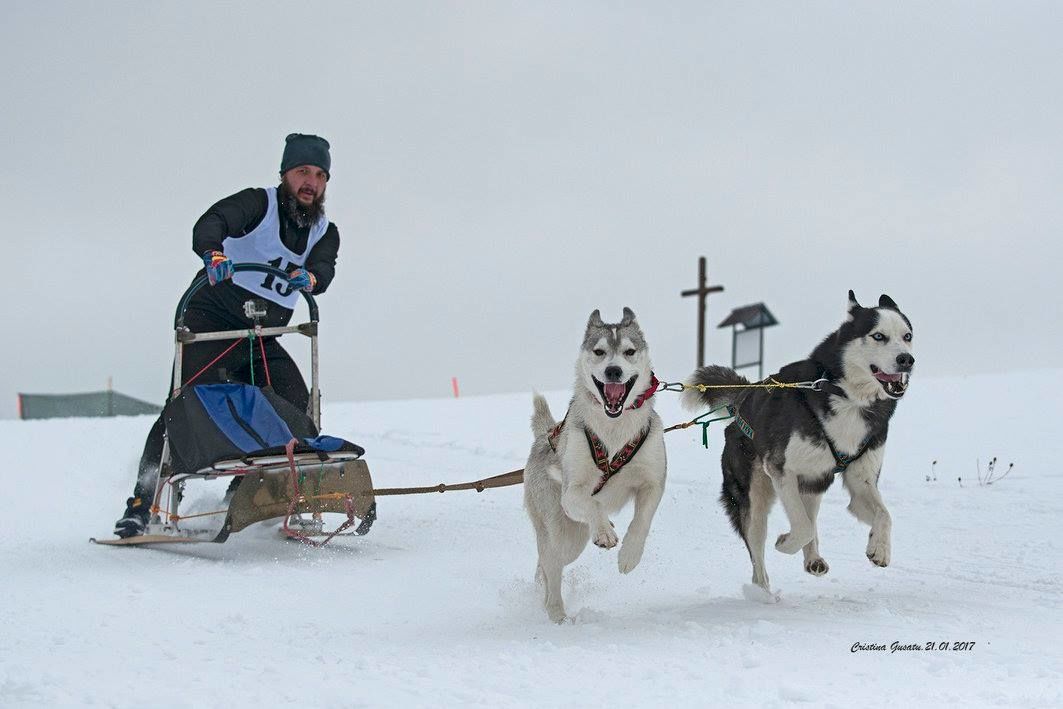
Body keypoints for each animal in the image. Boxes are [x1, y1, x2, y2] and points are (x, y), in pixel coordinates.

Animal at [522, 308, 663, 625]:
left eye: (629, 351)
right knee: (550, 568)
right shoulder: (572, 492)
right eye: (599, 352)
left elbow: (642, 520)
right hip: (563, 536)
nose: (613, 371)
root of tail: (544, 436)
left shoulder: (653, 481)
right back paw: (557, 614)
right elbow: (592, 503)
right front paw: (604, 532)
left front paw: (629, 555)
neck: (614, 432)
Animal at [688, 293, 914, 595]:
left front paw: (879, 548)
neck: (846, 397)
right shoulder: (782, 470)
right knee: (758, 555)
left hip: (814, 482)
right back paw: (763, 594)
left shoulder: (860, 481)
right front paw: (785, 543)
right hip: (754, 497)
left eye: (907, 336)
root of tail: (744, 399)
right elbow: (802, 527)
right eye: (878, 336)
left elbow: (885, 515)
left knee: (811, 516)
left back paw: (813, 558)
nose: (907, 359)